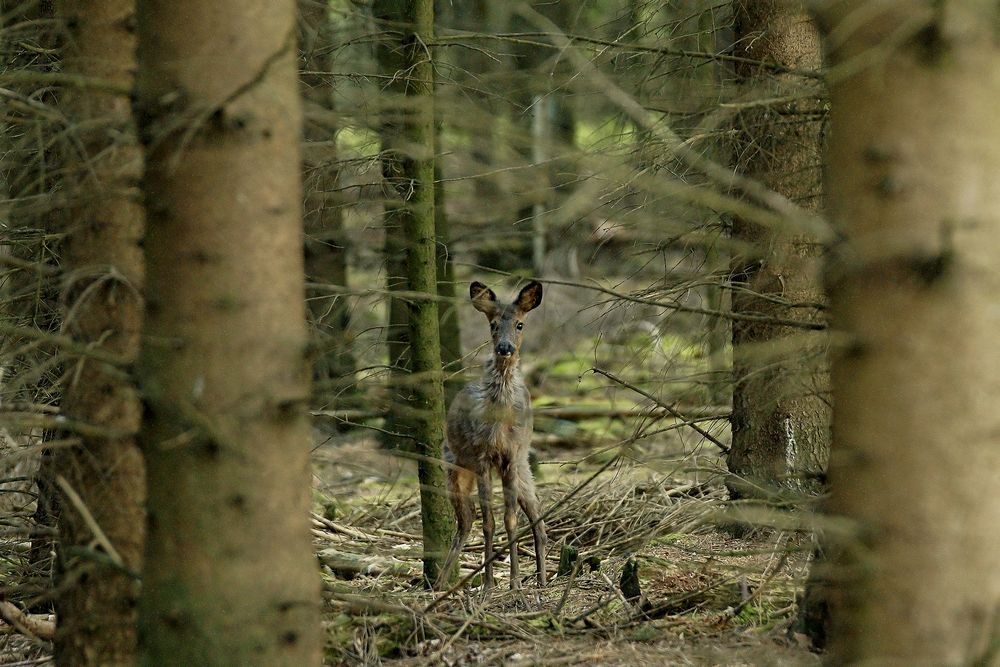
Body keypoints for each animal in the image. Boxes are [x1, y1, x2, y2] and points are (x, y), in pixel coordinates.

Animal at [438, 280, 548, 588]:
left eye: (520, 324)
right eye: (493, 324)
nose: (504, 347)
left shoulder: (510, 456)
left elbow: (510, 519)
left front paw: (515, 584)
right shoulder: (482, 457)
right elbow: (489, 522)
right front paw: (488, 585)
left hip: (522, 462)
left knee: (536, 513)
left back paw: (542, 580)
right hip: (455, 468)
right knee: (467, 519)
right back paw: (441, 584)